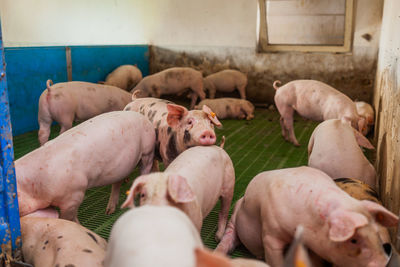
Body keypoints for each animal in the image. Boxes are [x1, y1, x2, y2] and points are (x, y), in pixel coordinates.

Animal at [16, 111, 155, 222]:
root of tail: (142, 116)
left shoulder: (74, 195)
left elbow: (68, 218)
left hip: (148, 151)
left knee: (145, 171)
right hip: (122, 166)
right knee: (117, 183)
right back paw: (109, 211)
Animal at [216, 166, 396, 266]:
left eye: (376, 232)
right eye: (353, 240)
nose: (384, 262)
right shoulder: (270, 232)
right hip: (235, 219)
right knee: (228, 239)